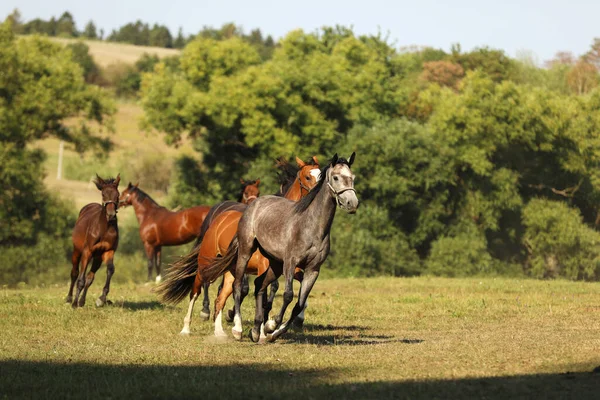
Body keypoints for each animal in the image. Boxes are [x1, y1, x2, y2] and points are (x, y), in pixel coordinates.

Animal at [67, 175, 120, 310]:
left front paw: (101, 299)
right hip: (77, 251)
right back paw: (69, 299)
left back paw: (82, 301)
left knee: (90, 277)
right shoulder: (87, 252)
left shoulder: (108, 251)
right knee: (74, 273)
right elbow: (80, 279)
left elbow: (110, 270)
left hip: (97, 258)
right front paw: (74, 304)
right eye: (103, 194)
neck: (104, 229)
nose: (111, 215)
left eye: (118, 194)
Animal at [118, 181, 264, 282]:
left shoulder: (149, 244)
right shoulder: (158, 246)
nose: (117, 203)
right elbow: (157, 263)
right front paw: (157, 280)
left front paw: (148, 281)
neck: (149, 215)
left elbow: (149, 263)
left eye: (123, 193)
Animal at [157, 155, 322, 336]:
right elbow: (259, 291)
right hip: (209, 261)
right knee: (200, 287)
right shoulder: (262, 266)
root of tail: (218, 215)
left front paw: (289, 320)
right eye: (307, 177)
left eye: (321, 174)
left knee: (220, 291)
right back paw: (194, 322)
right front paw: (260, 326)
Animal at [202, 152, 360, 342]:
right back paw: (237, 329)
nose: (352, 203)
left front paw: (273, 332)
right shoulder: (290, 263)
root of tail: (253, 205)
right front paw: (271, 325)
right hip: (246, 253)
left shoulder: (313, 269)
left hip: (274, 263)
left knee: (259, 285)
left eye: (352, 177)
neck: (310, 226)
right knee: (238, 286)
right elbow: (288, 295)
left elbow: (299, 304)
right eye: (335, 177)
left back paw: (255, 331)